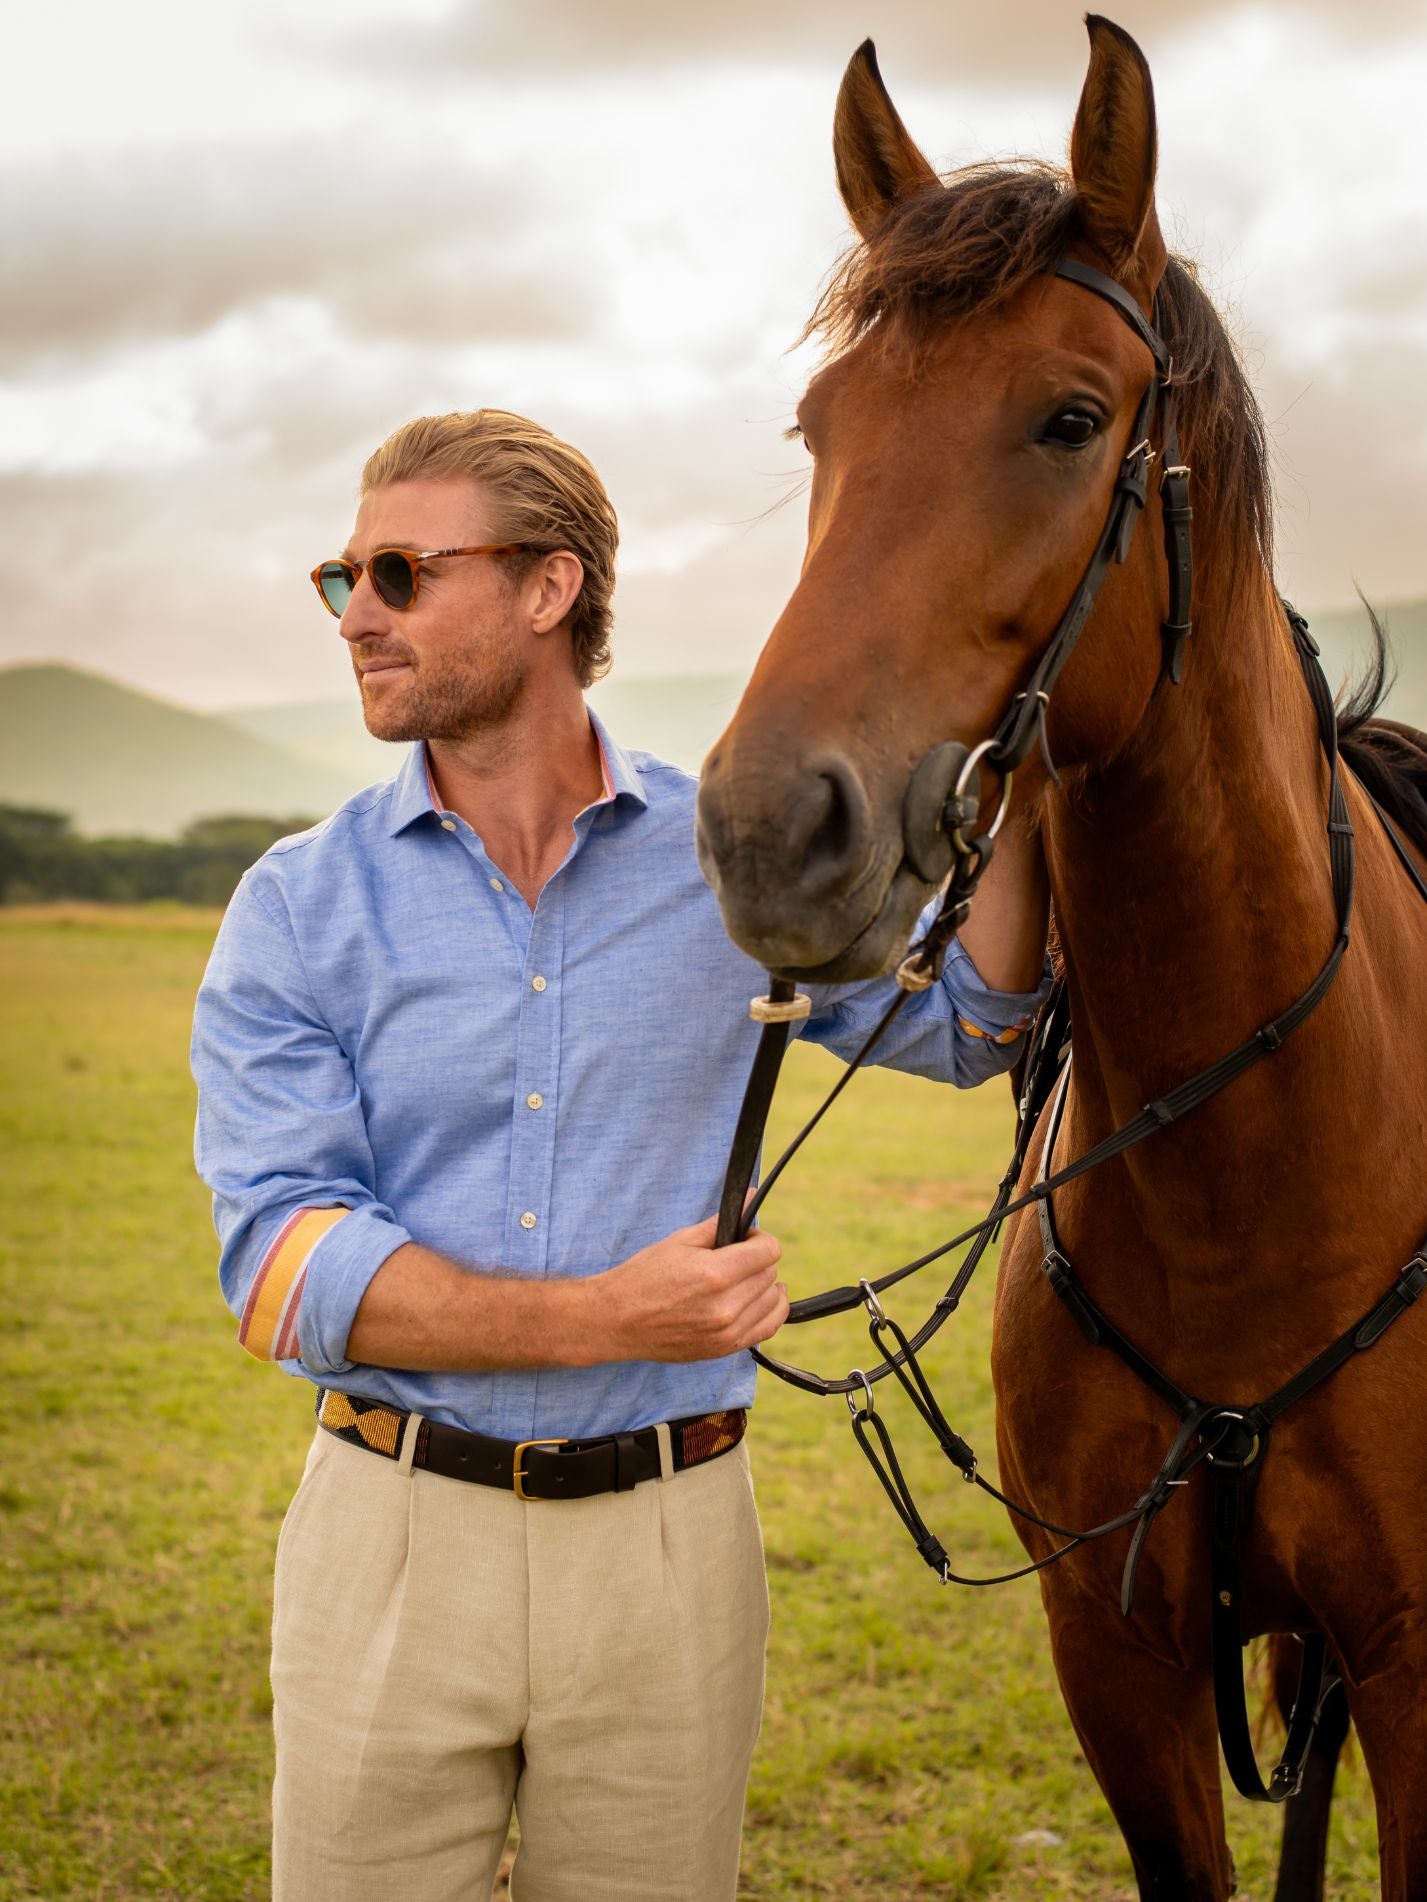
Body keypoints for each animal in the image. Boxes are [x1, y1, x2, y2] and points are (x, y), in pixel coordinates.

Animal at [700, 18, 1427, 1902]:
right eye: (819, 427)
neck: (1255, 1193)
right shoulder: (1116, 1661)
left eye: (1070, 419)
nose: (762, 827)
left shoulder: (1418, 1669)